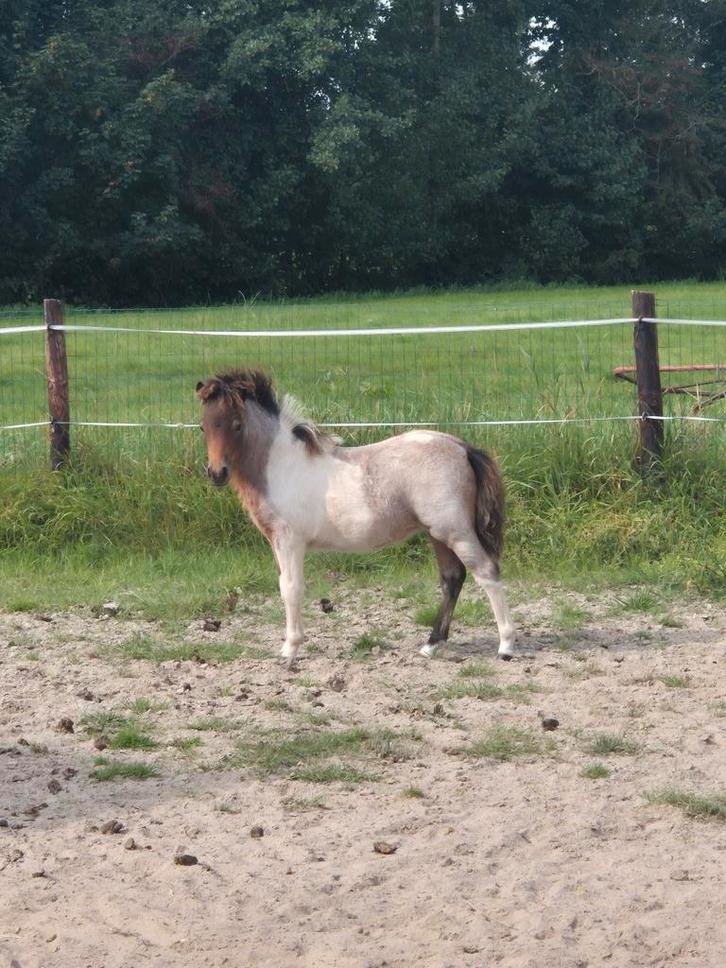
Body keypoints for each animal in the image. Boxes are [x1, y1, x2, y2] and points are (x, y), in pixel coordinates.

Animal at [196, 369, 516, 664]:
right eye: (203, 426)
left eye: (237, 425)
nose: (217, 473)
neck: (281, 466)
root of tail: (463, 448)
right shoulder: (276, 541)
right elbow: (283, 585)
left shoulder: (290, 540)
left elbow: (291, 588)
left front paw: (290, 649)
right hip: (437, 534)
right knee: (452, 578)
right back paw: (431, 645)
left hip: (456, 531)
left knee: (487, 572)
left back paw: (506, 646)